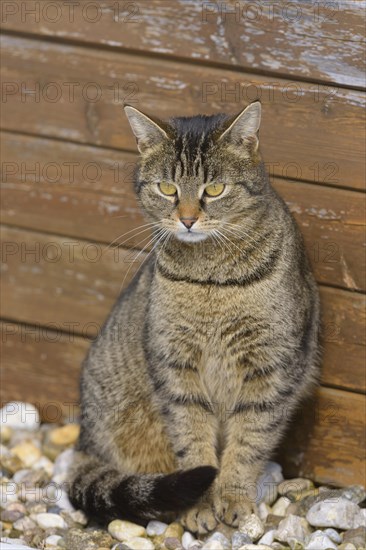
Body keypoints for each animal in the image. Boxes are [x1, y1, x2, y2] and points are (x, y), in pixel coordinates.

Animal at [68, 102, 320, 536]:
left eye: (214, 189)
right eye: (167, 188)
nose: (187, 219)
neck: (210, 281)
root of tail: (84, 438)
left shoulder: (270, 368)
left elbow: (248, 441)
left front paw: (233, 498)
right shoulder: (175, 365)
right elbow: (193, 442)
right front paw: (200, 505)